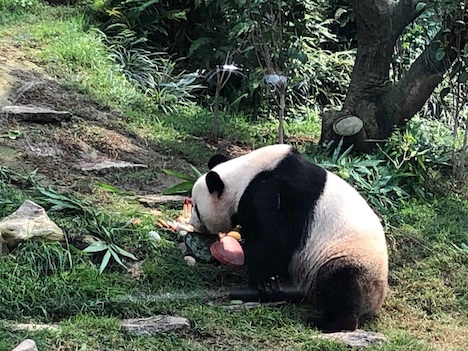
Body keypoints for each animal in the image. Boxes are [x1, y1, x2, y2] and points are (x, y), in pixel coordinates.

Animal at [188, 145, 390, 332]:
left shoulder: (268, 193)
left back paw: (325, 321)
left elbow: (273, 241)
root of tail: (375, 302)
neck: (245, 176)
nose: (193, 224)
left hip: (351, 258)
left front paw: (266, 281)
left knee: (341, 283)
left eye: (197, 208)